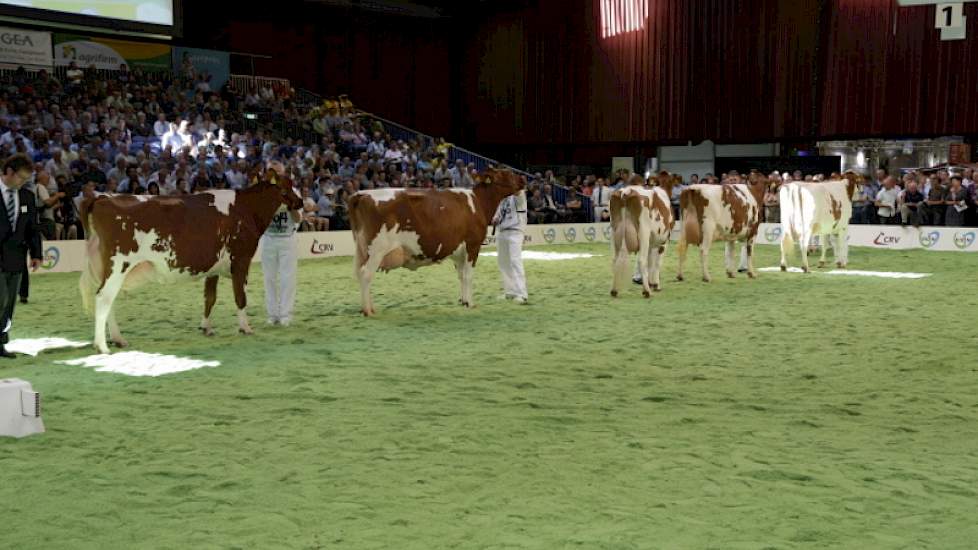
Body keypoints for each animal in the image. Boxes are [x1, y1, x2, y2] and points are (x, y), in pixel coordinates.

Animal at [79, 170, 302, 356]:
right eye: (287, 186)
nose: (300, 202)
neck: (247, 208)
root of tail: (102, 197)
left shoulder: (214, 266)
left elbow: (209, 298)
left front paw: (206, 328)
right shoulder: (241, 259)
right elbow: (240, 297)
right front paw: (245, 327)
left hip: (109, 269)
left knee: (108, 300)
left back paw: (118, 339)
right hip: (118, 264)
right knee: (103, 298)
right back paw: (102, 346)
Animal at [346, 166, 524, 316]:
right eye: (506, 173)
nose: (523, 179)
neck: (478, 202)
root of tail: (362, 194)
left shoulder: (458, 251)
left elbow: (461, 275)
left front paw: (463, 301)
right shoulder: (472, 245)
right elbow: (468, 275)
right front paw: (471, 303)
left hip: (361, 249)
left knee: (360, 274)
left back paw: (367, 307)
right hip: (377, 249)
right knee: (366, 274)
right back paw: (368, 311)